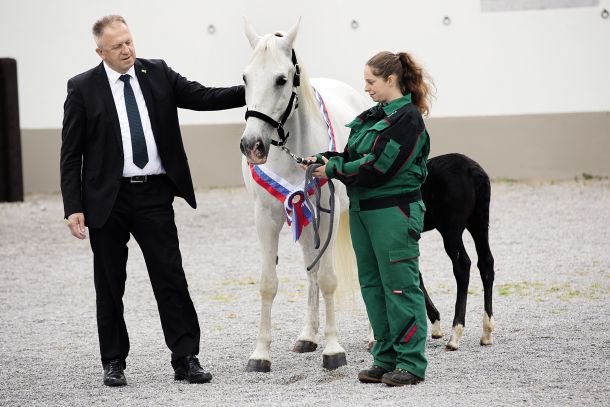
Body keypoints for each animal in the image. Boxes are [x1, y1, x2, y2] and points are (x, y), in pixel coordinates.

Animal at [240, 17, 368, 372]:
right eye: (245, 78)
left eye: (281, 79)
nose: (251, 146)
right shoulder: (266, 219)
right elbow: (269, 283)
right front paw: (260, 354)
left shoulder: (329, 217)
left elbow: (328, 280)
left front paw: (334, 349)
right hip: (304, 218)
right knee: (310, 270)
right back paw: (308, 336)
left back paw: (373, 337)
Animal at [418, 153, 494, 350]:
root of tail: (473, 171)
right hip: (478, 222)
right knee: (486, 263)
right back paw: (486, 333)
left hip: (450, 229)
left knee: (462, 265)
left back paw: (455, 334)